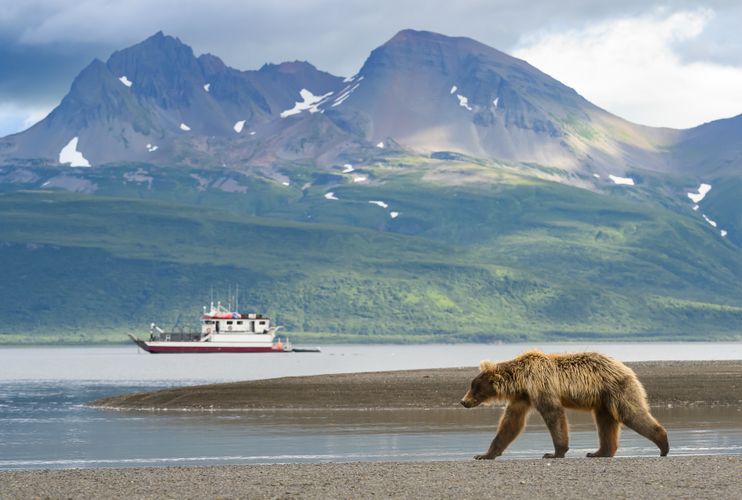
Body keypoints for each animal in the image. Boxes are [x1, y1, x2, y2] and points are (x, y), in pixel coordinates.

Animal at [460, 350, 669, 460]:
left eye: (474, 387)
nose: (463, 401)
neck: (522, 380)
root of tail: (626, 367)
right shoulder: (522, 397)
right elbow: (511, 423)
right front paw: (485, 454)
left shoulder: (541, 386)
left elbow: (554, 415)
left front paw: (554, 453)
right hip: (603, 399)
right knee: (605, 423)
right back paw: (598, 452)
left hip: (616, 389)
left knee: (631, 413)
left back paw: (663, 444)